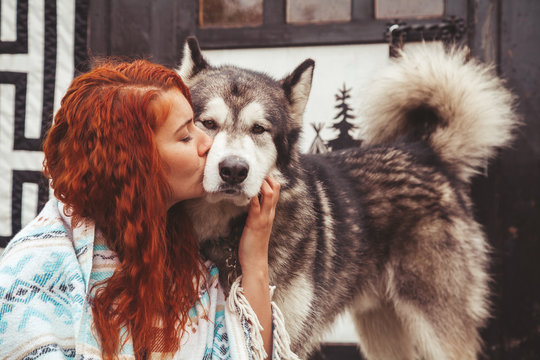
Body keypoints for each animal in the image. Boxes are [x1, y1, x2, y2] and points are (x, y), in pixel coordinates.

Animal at [175, 37, 516, 360]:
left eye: (258, 129)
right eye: (208, 123)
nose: (233, 170)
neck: (224, 236)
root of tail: (424, 151)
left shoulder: (283, 334)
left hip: (437, 327)